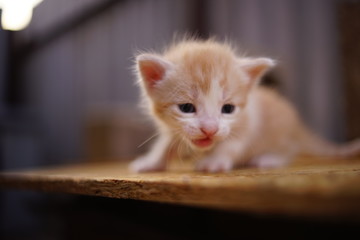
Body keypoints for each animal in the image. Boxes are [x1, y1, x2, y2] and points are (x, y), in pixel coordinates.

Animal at [129, 39, 360, 172]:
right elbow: (165, 144)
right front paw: (151, 162)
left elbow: (232, 144)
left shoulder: (248, 122)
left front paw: (214, 161)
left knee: (290, 149)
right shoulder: (173, 129)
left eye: (228, 109)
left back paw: (269, 159)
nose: (209, 129)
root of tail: (297, 126)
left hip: (282, 134)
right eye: (186, 108)